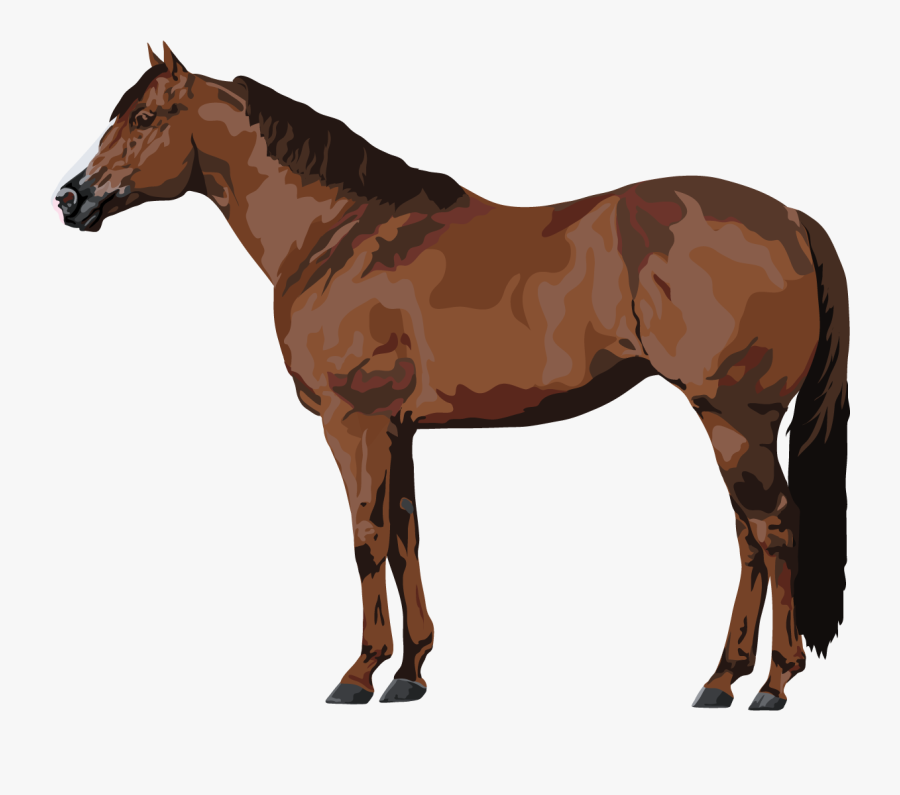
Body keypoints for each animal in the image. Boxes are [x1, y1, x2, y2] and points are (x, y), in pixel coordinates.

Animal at [55, 44, 849, 710]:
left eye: (145, 117)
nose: (71, 198)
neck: (338, 233)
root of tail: (791, 218)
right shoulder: (399, 429)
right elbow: (406, 535)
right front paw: (409, 673)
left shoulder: (353, 422)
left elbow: (366, 536)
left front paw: (358, 674)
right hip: (733, 422)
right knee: (749, 536)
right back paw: (723, 679)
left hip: (734, 417)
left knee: (774, 528)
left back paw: (770, 684)